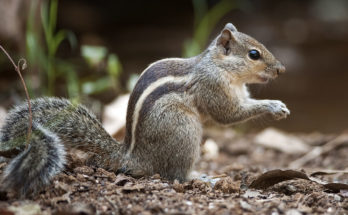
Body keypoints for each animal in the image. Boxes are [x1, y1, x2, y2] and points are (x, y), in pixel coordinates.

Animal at [0, 23, 288, 197]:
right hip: (185, 132)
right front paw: (274, 105)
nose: (281, 70)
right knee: (175, 175)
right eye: (254, 54)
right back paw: (204, 178)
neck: (219, 66)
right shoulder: (213, 87)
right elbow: (228, 115)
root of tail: (131, 157)